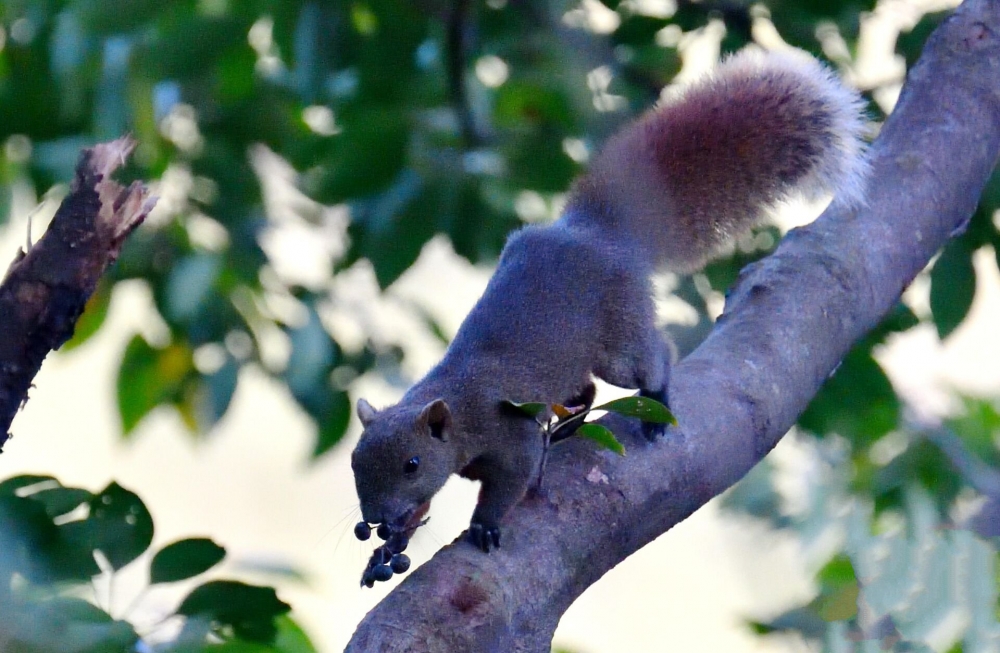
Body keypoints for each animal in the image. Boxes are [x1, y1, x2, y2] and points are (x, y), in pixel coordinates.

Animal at [350, 49, 868, 552]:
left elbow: (513, 479)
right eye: (355, 463)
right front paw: (401, 534)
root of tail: (597, 234)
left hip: (619, 340)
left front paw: (485, 525)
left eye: (412, 464)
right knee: (584, 391)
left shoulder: (509, 432)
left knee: (653, 358)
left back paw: (656, 404)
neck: (458, 408)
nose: (375, 520)